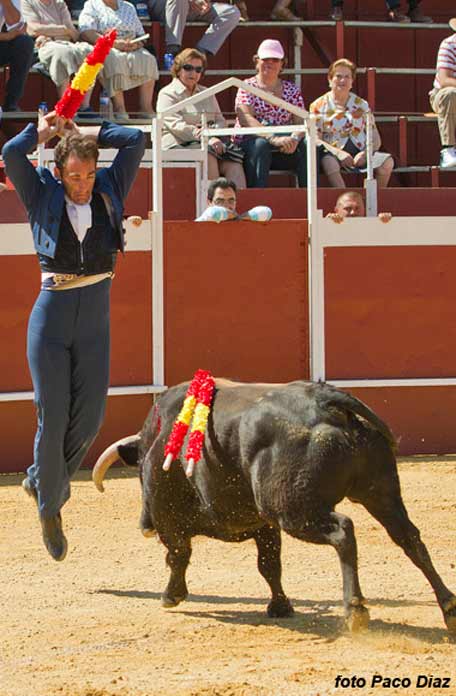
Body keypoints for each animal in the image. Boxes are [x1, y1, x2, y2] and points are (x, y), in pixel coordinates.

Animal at [93, 378, 456, 632]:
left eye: (140, 472)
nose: (144, 526)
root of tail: (326, 402)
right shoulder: (264, 525)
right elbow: (269, 564)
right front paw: (281, 607)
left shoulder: (170, 519)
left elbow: (178, 556)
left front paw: (172, 595)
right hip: (380, 492)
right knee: (409, 538)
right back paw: (449, 608)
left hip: (294, 510)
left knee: (344, 531)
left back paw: (355, 610)